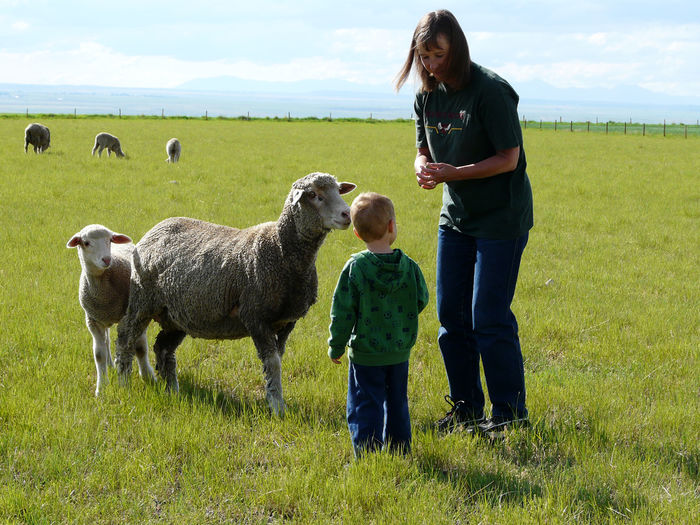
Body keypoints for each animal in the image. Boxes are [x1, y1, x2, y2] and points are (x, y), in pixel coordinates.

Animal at [67, 223, 156, 396]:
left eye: (109, 240)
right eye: (86, 243)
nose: (107, 259)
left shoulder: (131, 315)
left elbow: (139, 348)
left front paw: (148, 378)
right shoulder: (93, 321)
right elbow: (99, 355)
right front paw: (101, 389)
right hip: (103, 318)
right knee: (106, 340)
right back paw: (109, 365)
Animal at [116, 172, 356, 414]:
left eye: (338, 190)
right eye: (313, 194)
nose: (347, 214)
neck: (280, 249)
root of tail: (153, 230)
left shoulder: (287, 322)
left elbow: (278, 359)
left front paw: (274, 398)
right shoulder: (256, 316)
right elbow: (273, 363)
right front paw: (277, 407)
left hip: (177, 315)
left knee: (164, 348)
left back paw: (173, 391)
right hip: (143, 300)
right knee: (126, 337)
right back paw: (123, 383)